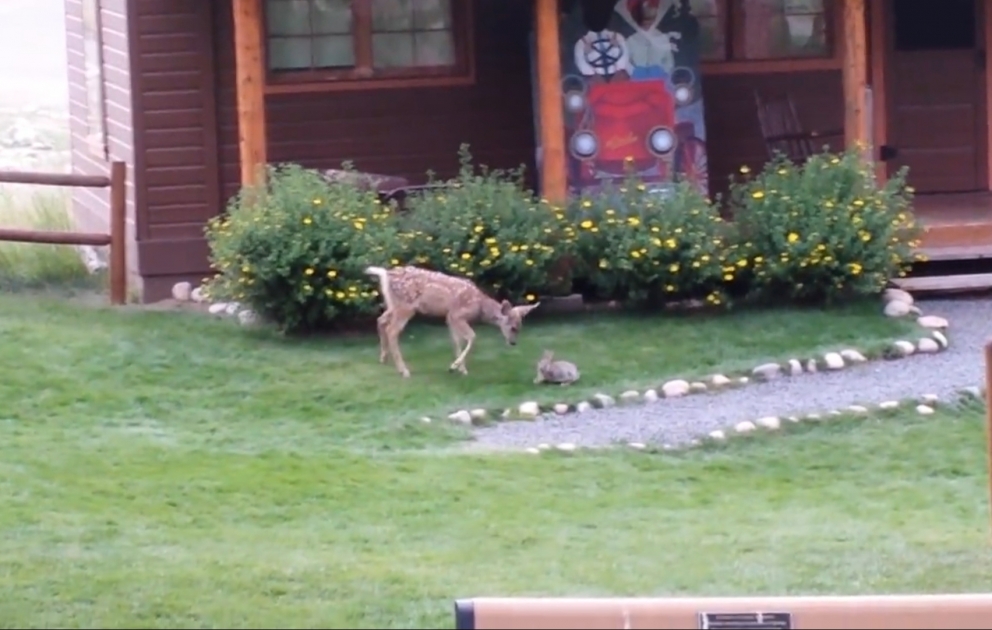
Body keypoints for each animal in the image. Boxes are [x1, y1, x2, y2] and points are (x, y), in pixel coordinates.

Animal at [364, 265, 541, 378]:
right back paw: (403, 370)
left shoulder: (449, 318)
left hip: (394, 304)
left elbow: (456, 341)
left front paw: (459, 368)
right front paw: (455, 367)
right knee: (392, 331)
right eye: (512, 327)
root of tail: (386, 274)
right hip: (405, 306)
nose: (513, 343)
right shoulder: (456, 314)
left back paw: (383, 358)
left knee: (381, 320)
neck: (480, 306)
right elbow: (472, 337)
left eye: (520, 327)